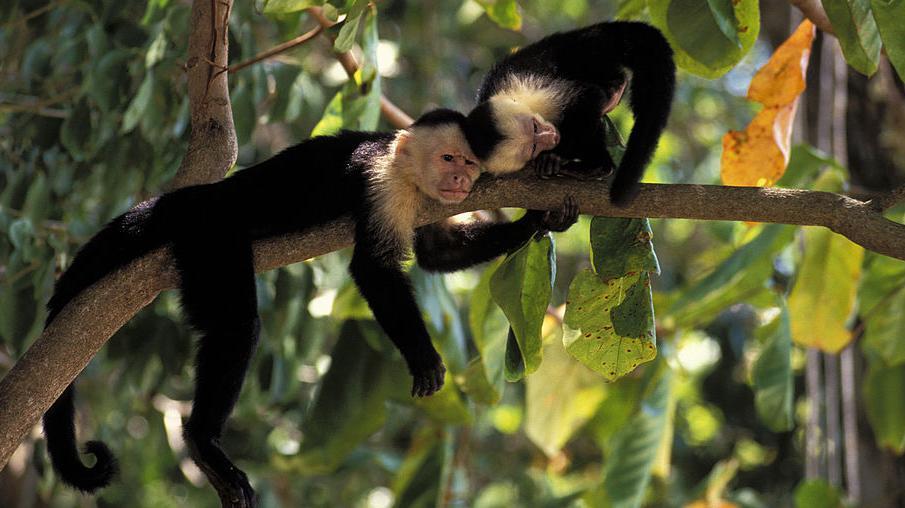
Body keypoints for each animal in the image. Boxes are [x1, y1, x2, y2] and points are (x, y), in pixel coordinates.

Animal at [40, 109, 580, 506]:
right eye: (448, 156)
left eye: (468, 164)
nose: (458, 179)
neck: (405, 169)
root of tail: (202, 194)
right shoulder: (382, 184)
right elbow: (373, 270)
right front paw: (423, 358)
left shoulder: (430, 202)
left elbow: (435, 253)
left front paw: (539, 218)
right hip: (211, 235)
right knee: (238, 327)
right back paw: (203, 440)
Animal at [466, 20, 672, 206]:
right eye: (532, 147)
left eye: (535, 127)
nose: (551, 137)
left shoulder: (526, 88)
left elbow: (587, 96)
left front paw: (556, 156)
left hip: (589, 52)